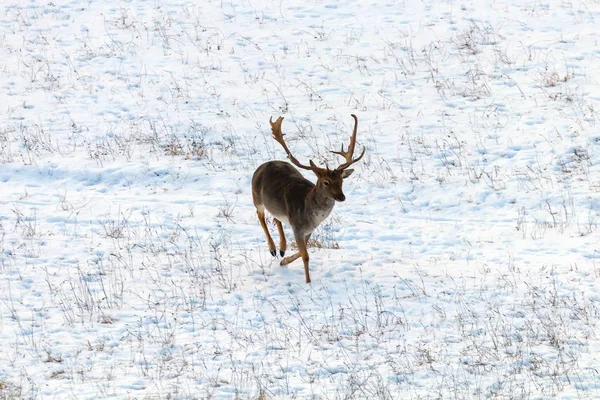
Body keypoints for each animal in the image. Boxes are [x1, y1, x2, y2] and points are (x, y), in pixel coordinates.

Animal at [250, 114, 364, 282]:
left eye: (341, 181)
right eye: (326, 182)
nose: (341, 196)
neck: (309, 212)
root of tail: (263, 165)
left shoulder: (309, 230)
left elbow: (301, 253)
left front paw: (284, 261)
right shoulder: (297, 226)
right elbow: (305, 256)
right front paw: (308, 282)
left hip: (274, 206)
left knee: (276, 217)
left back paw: (282, 249)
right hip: (256, 197)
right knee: (260, 215)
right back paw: (272, 249)